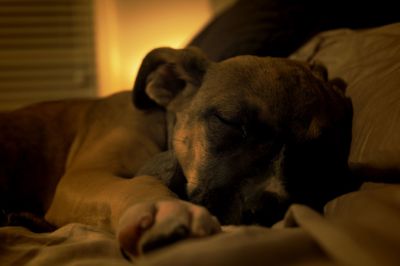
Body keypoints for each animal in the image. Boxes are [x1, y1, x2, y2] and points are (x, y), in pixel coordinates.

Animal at [0, 47, 356, 256]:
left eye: (320, 152)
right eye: (230, 121)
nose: (270, 210)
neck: (162, 122)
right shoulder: (83, 177)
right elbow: (137, 183)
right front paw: (165, 210)